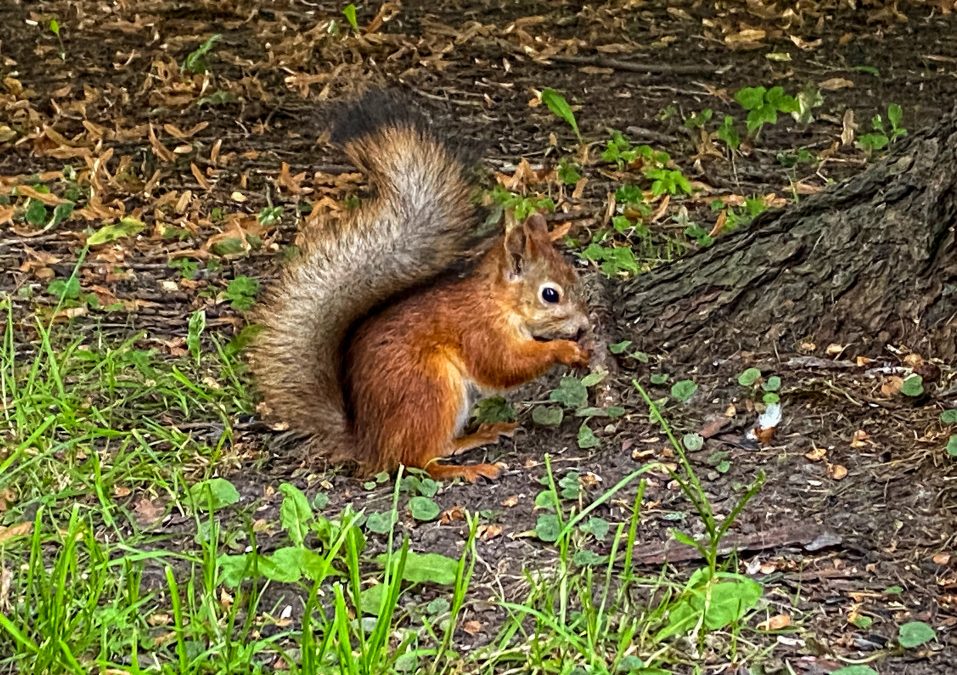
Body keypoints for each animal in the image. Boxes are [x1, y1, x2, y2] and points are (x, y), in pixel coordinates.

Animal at [250, 90, 591, 482]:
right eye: (550, 294)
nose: (584, 325)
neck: (498, 301)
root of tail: (368, 443)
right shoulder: (478, 330)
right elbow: (503, 366)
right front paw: (564, 350)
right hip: (431, 389)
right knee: (415, 461)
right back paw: (468, 469)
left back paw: (480, 436)